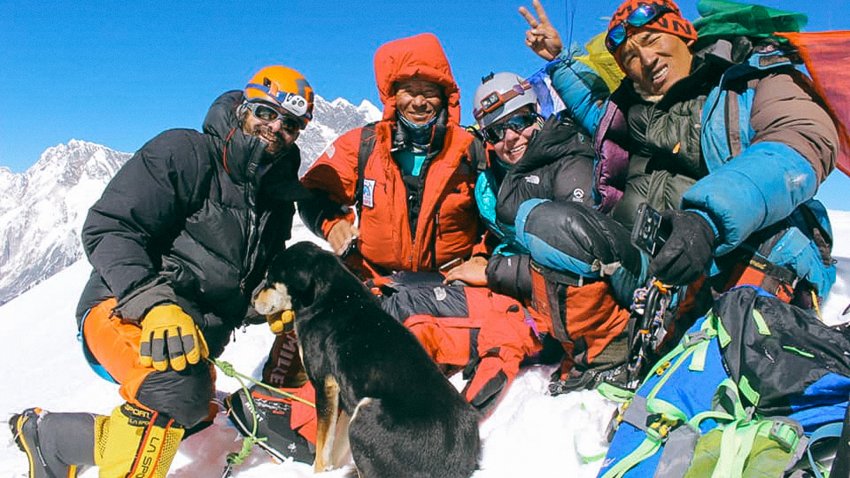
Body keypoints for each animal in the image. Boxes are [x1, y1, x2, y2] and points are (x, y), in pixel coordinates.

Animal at [250, 243, 476, 478]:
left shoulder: (324, 384)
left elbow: (323, 445)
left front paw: (319, 471)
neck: (328, 298)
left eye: (270, 279)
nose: (252, 299)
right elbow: (336, 441)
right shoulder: (341, 391)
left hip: (365, 412)